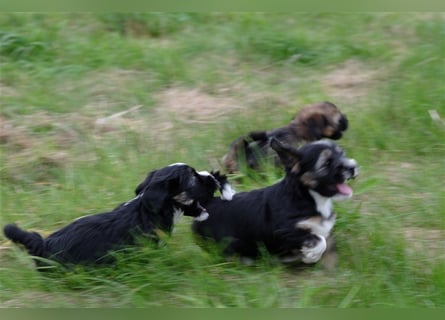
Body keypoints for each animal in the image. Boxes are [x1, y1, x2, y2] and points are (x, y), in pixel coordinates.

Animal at [193, 139, 358, 266]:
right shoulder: (284, 233)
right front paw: (311, 257)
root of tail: (207, 203)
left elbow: (328, 245)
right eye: (327, 163)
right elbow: (319, 240)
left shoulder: (325, 228)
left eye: (342, 154)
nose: (353, 167)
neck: (309, 197)